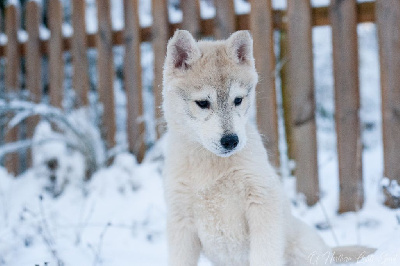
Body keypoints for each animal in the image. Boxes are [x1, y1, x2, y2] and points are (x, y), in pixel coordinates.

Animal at [162, 29, 372, 266]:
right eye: (202, 103)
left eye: (238, 100)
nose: (231, 140)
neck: (213, 169)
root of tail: (330, 252)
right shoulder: (181, 220)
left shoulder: (261, 203)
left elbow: (264, 255)